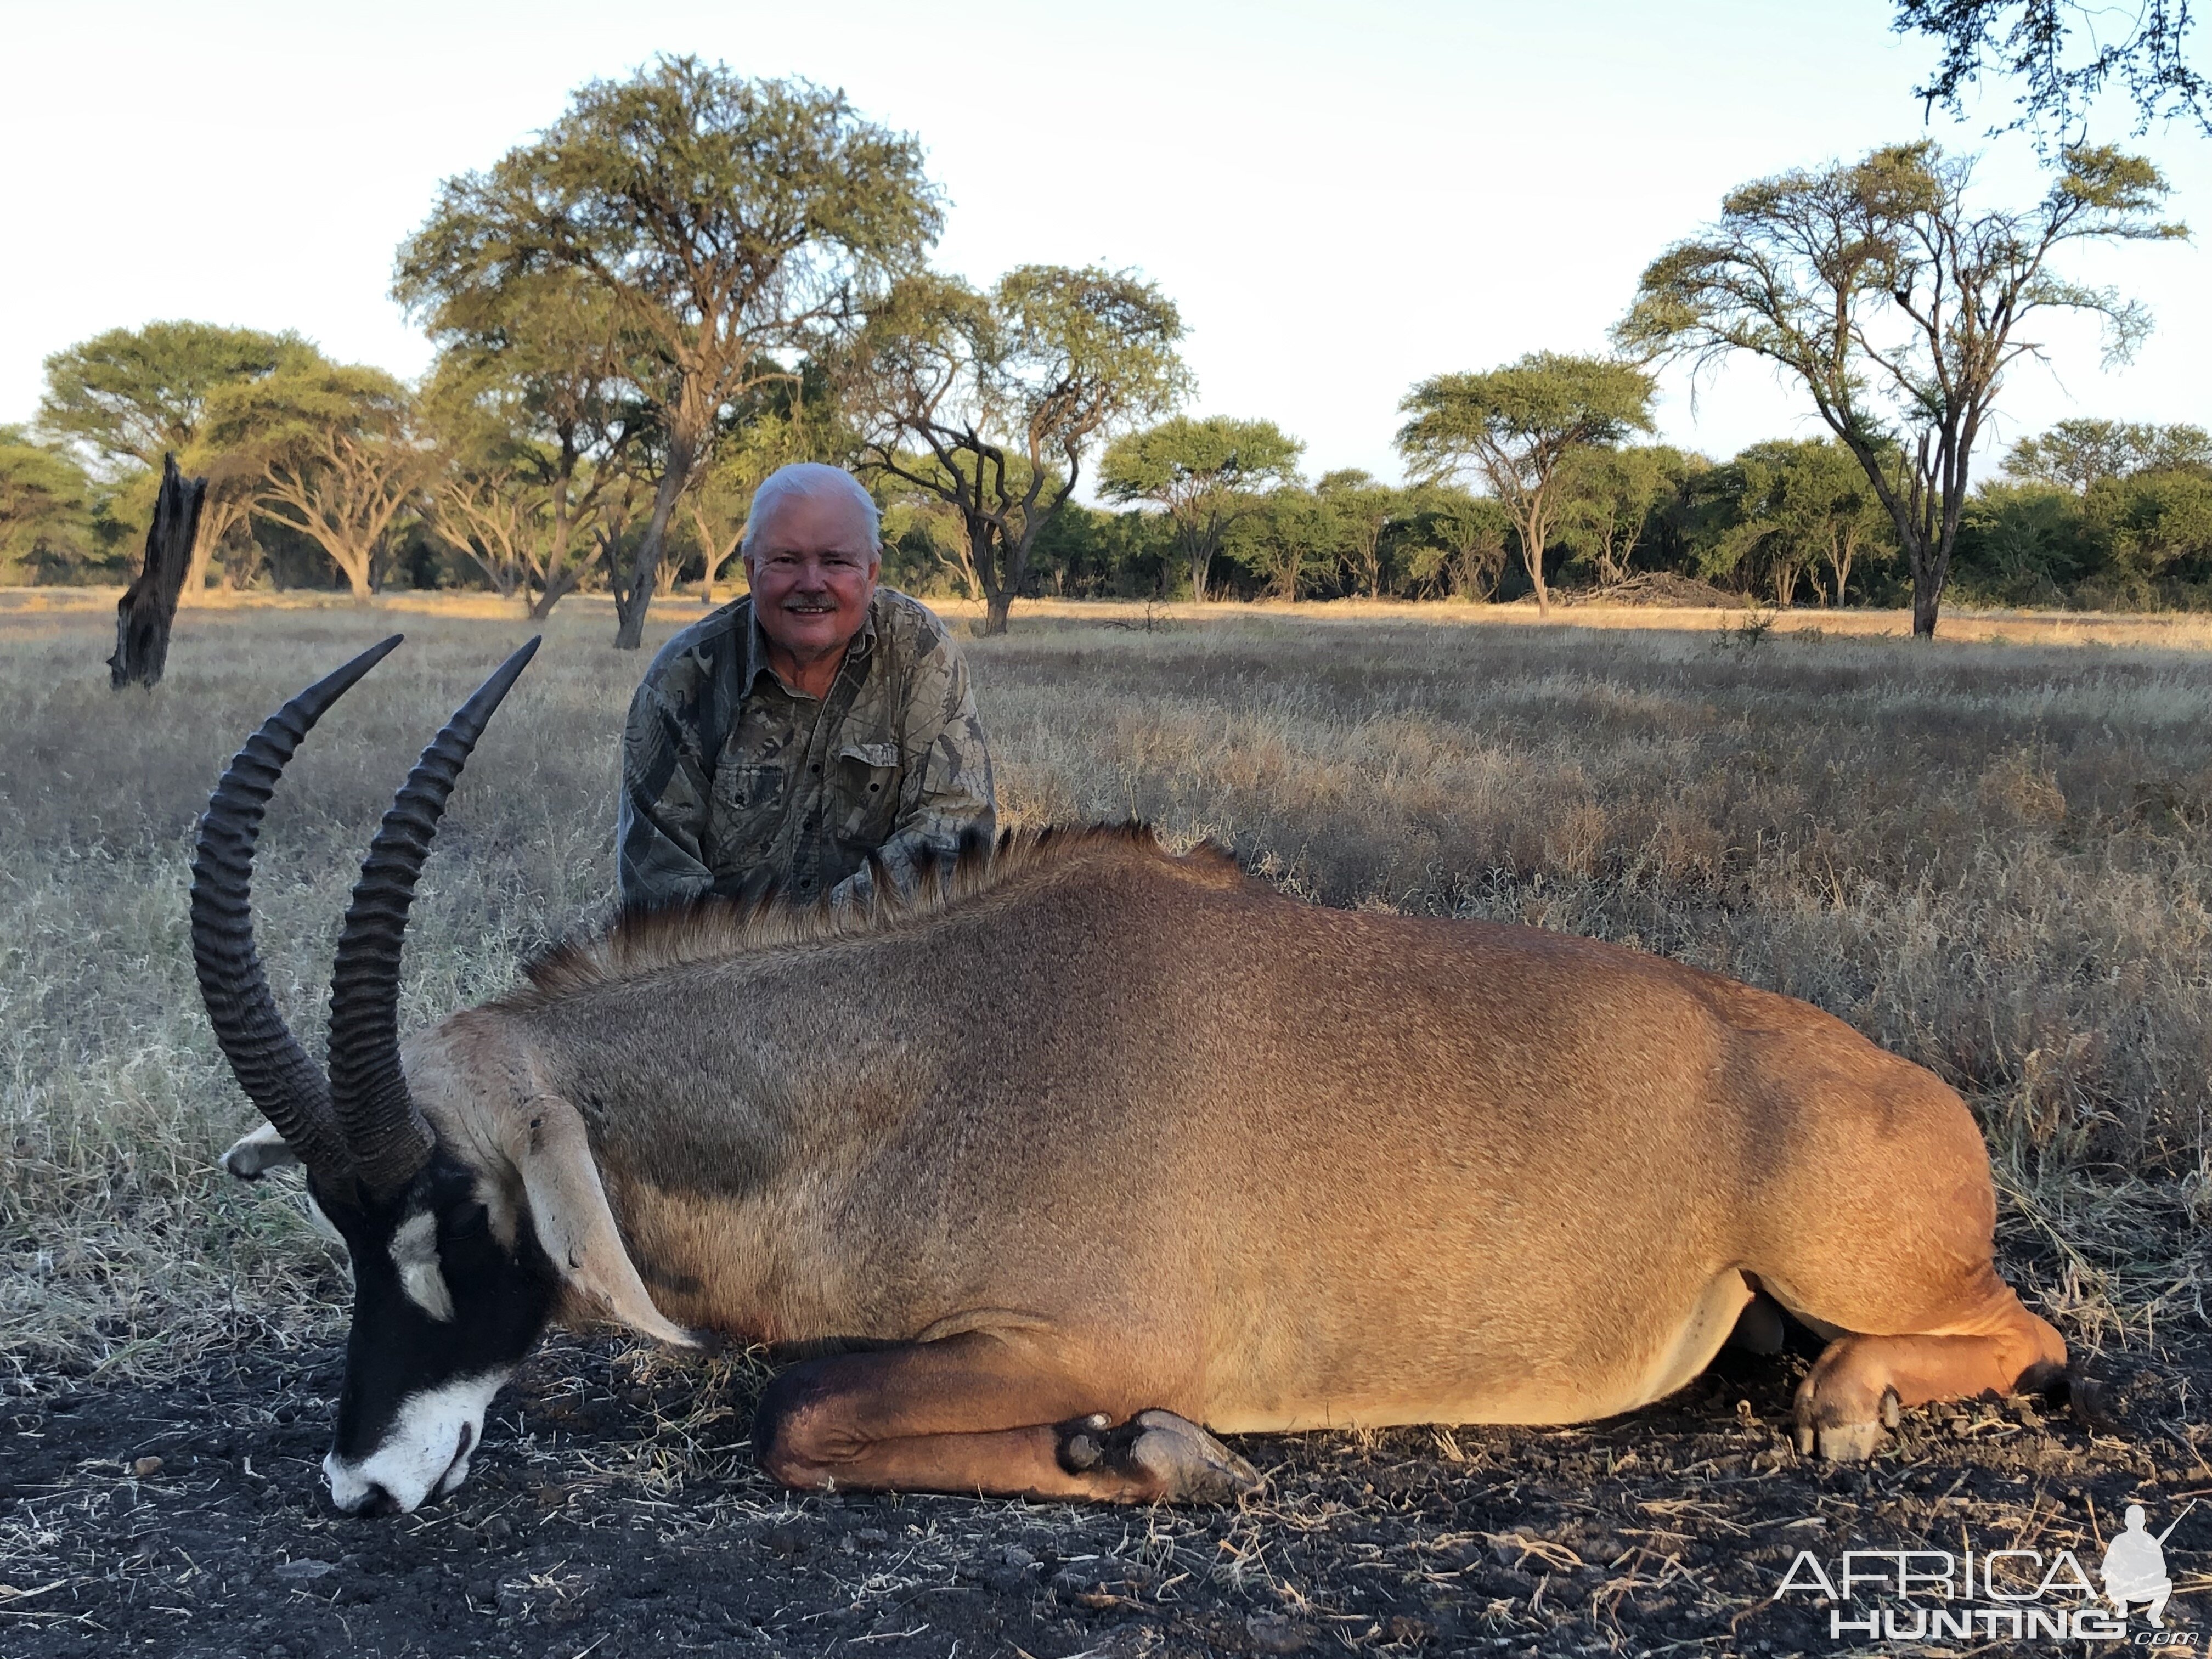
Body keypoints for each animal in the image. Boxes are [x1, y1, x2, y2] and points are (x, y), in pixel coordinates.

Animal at [199, 641, 2061, 1522]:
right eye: (340, 1241)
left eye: (457, 1220)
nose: (362, 1490)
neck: (915, 1058)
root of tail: (1908, 1086)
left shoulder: (1087, 1336)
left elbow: (792, 1413)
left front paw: (1166, 1457)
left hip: (1861, 1265)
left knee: (2028, 1333)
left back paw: (1848, 1404)